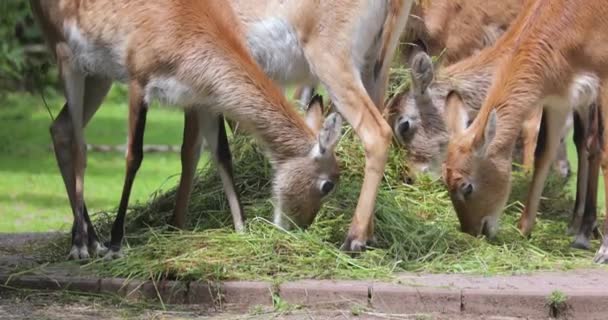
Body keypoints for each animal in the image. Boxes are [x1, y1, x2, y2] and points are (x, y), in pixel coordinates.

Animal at [29, 0, 346, 258]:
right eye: (327, 184)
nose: (299, 228)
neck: (188, 27)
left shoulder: (203, 99)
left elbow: (222, 156)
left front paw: (242, 231)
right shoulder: (138, 83)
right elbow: (134, 156)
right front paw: (117, 244)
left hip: (98, 77)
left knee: (61, 130)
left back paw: (92, 240)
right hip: (69, 63)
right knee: (79, 145)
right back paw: (82, 245)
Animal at [169, 0, 416, 252]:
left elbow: (189, 152)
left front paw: (175, 225)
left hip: (335, 67)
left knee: (377, 133)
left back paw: (353, 239)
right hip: (373, 68)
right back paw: (369, 235)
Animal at [442, 0, 608, 260]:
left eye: (466, 186)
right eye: (445, 181)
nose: (473, 231)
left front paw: (604, 248)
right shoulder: (560, 97)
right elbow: (543, 153)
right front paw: (524, 230)